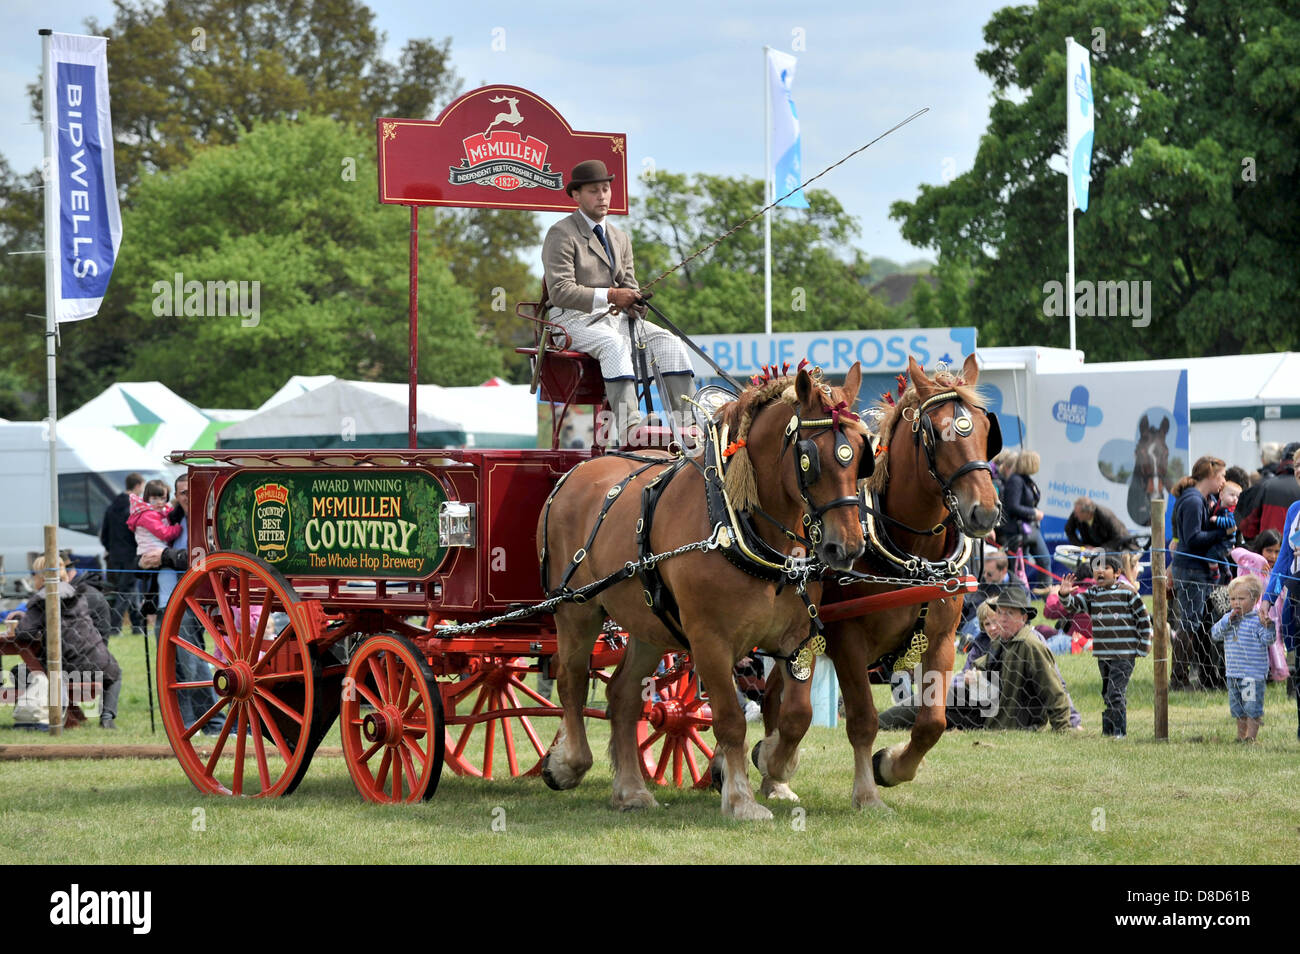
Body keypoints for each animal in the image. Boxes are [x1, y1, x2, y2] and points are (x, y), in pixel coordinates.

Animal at [538, 366, 873, 821]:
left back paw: (631, 790)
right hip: (576, 610)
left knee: (621, 696)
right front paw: (741, 800)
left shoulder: (798, 637)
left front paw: (772, 763)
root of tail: (573, 474)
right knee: (570, 680)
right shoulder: (709, 640)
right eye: (809, 458)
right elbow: (730, 718)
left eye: (860, 455)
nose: (848, 547)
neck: (735, 524)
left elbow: (797, 716)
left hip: (648, 624)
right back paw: (568, 763)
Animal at [754, 356, 1003, 811]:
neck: (908, 551)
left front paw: (889, 766)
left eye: (983, 429)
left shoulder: (941, 638)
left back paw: (774, 778)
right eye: (935, 434)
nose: (985, 511)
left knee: (774, 700)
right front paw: (867, 793)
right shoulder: (846, 640)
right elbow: (863, 720)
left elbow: (932, 722)